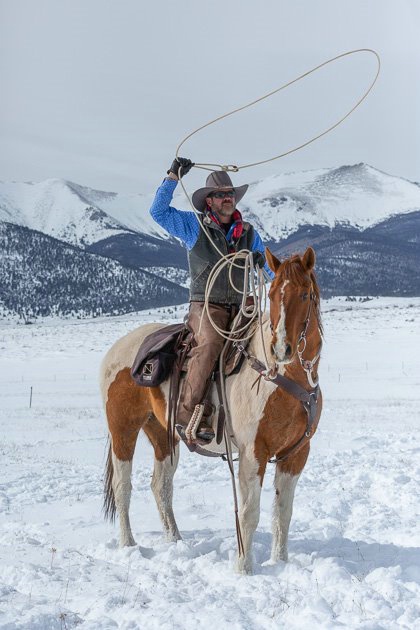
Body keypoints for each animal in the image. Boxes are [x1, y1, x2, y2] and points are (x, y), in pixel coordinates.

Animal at [101, 248, 322, 576]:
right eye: (272, 294)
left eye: (305, 294)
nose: (281, 348)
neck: (284, 378)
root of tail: (117, 348)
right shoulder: (253, 452)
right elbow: (248, 513)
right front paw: (244, 569)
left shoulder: (296, 453)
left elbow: (283, 513)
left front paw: (279, 563)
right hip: (123, 429)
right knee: (122, 486)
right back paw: (128, 545)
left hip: (163, 434)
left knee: (161, 486)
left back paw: (175, 540)